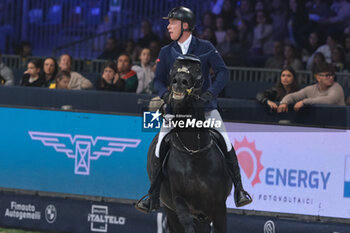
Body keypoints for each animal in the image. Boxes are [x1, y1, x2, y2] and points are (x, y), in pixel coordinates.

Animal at [146, 55, 231, 232]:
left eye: (197, 69)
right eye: (174, 66)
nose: (180, 81)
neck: (193, 151)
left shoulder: (219, 207)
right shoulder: (179, 201)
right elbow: (186, 221)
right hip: (170, 209)